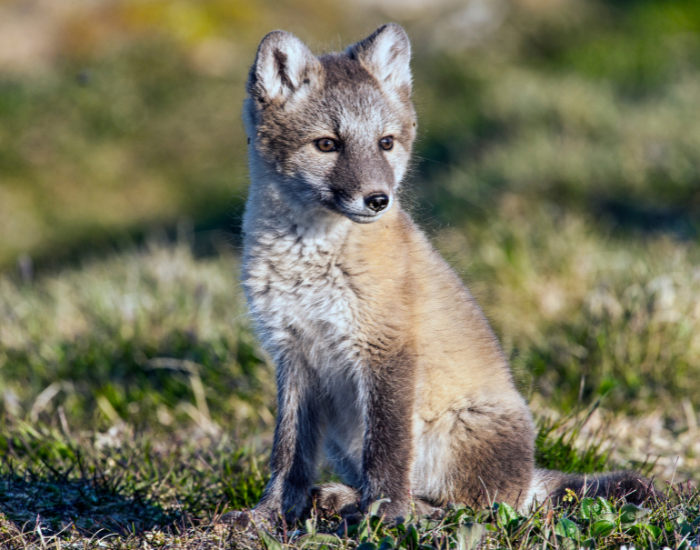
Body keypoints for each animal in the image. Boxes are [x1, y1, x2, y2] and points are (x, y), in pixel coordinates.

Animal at [229, 23, 653, 526]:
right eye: (327, 144)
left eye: (386, 142)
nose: (378, 200)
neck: (307, 259)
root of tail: (526, 478)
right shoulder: (292, 354)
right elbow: (287, 454)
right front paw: (268, 515)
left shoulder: (386, 348)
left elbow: (387, 453)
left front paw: (386, 517)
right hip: (339, 434)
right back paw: (341, 498)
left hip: (459, 436)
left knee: (467, 506)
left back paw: (394, 509)